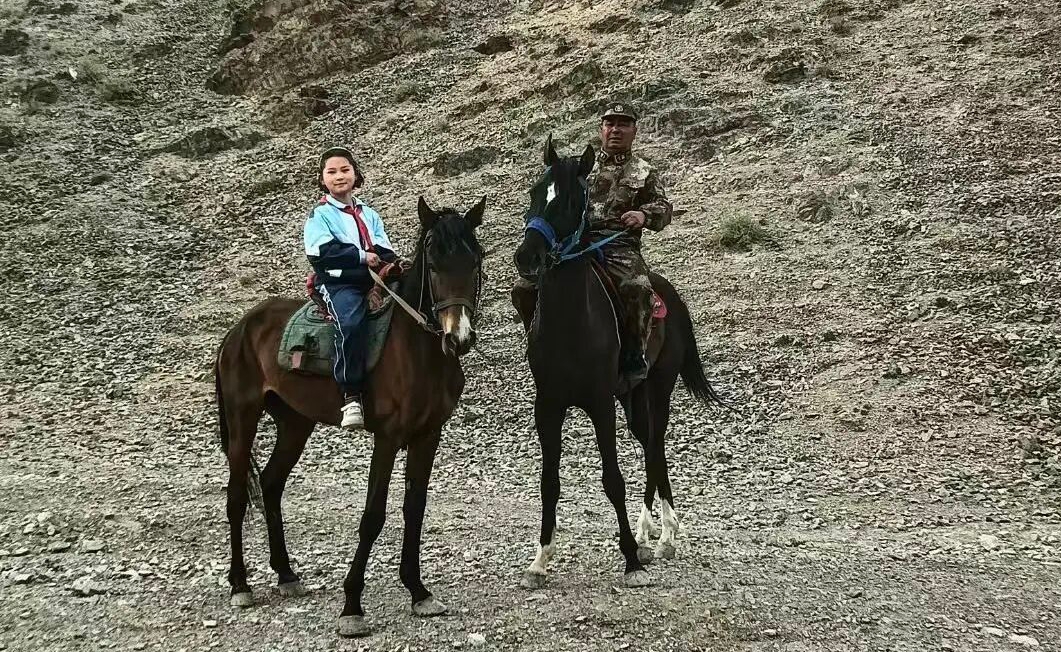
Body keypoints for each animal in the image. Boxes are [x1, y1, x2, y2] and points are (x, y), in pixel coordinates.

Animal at [213, 196, 486, 637]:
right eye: (433, 263)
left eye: (475, 260)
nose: (457, 337)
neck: (417, 348)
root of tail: (239, 330)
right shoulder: (388, 438)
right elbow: (373, 515)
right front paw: (352, 606)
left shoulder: (428, 436)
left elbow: (415, 509)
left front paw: (418, 591)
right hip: (242, 420)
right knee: (237, 495)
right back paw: (240, 584)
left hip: (295, 423)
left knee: (271, 484)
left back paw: (286, 574)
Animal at [511, 136, 725, 589]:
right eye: (536, 192)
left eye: (571, 200)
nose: (527, 257)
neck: (571, 322)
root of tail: (668, 293)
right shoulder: (548, 406)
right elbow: (549, 482)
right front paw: (540, 560)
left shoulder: (599, 403)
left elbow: (612, 479)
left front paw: (629, 559)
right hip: (632, 397)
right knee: (649, 444)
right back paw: (649, 533)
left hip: (657, 388)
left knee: (656, 446)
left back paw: (664, 536)